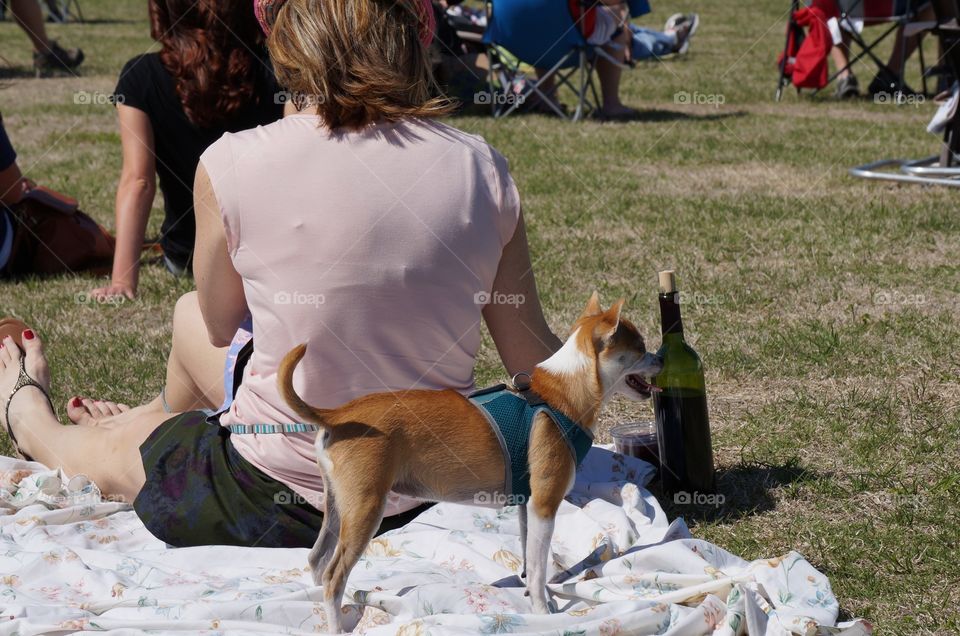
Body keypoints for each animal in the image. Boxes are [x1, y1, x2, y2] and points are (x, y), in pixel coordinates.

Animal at [280, 294, 660, 632]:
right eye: (640, 348)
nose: (661, 357)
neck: (559, 394)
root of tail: (338, 414)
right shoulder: (544, 504)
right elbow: (539, 568)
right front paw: (542, 610)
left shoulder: (527, 507)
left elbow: (532, 558)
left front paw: (540, 597)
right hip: (365, 507)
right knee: (334, 575)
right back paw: (336, 625)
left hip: (337, 503)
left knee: (317, 560)